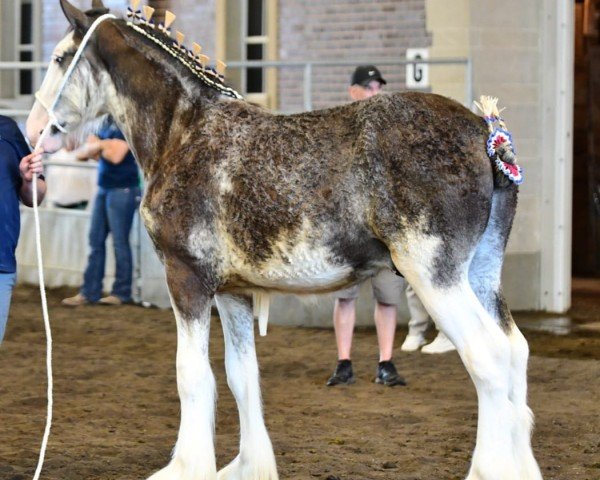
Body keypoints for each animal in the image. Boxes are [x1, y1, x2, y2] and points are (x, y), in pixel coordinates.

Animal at [27, 0, 544, 480]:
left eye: (59, 58)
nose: (34, 129)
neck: (185, 133)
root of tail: (484, 131)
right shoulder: (233, 292)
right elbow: (241, 377)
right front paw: (247, 465)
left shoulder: (187, 279)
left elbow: (192, 376)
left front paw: (186, 466)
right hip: (480, 275)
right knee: (515, 352)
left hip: (436, 278)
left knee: (488, 357)